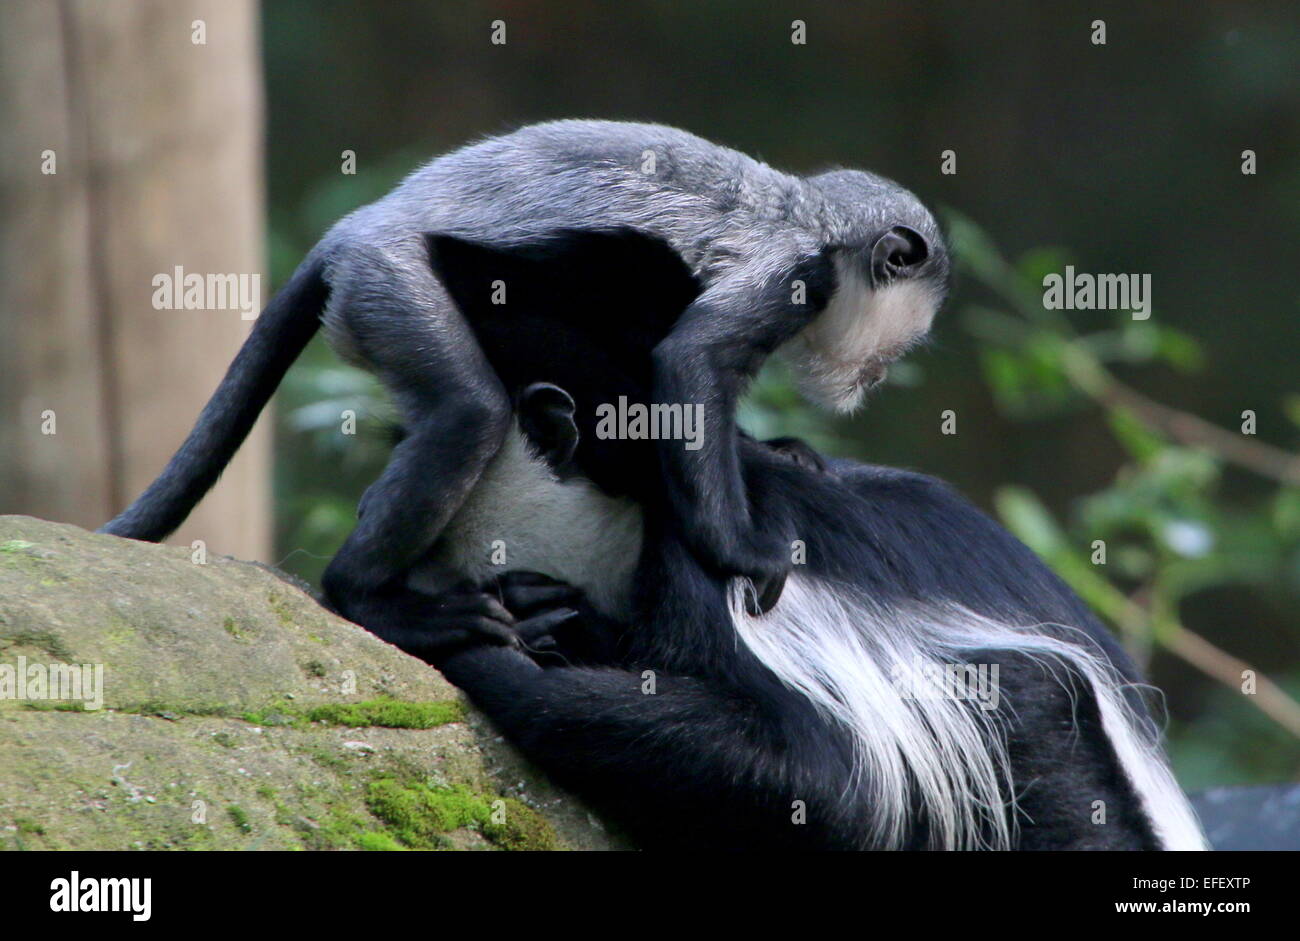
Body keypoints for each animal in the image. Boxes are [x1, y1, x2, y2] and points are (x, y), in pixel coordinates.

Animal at [99, 120, 949, 628]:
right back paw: (366, 595)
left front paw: (777, 451)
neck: (813, 223)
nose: (878, 373)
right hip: (393, 287)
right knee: (468, 413)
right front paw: (740, 551)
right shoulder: (791, 275)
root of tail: (357, 232)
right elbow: (692, 362)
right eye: (904, 340)